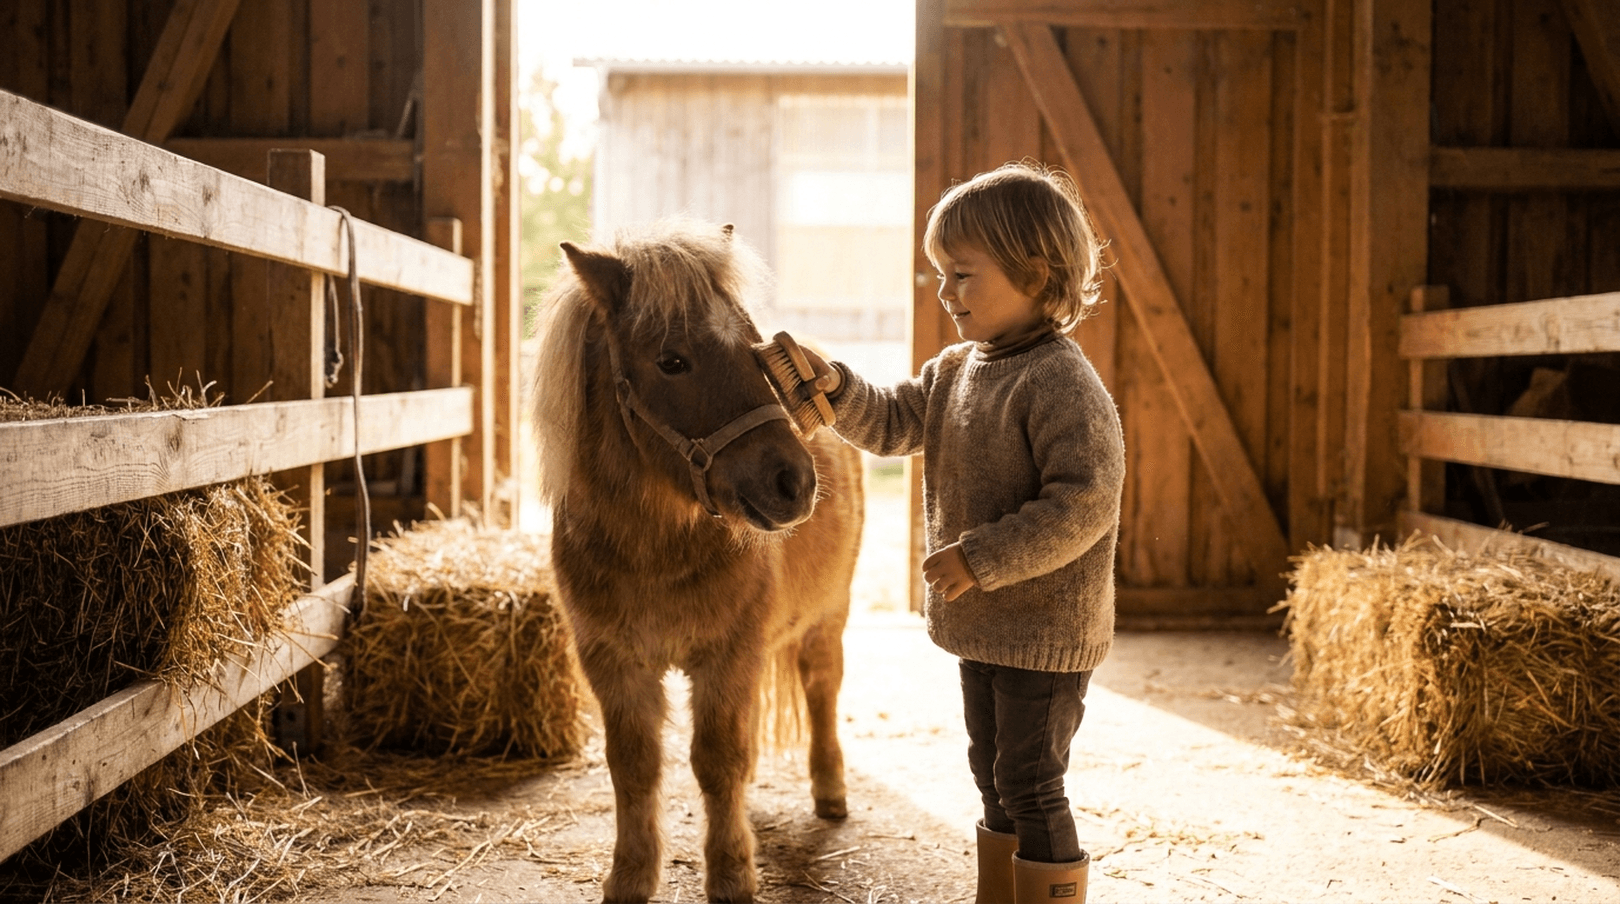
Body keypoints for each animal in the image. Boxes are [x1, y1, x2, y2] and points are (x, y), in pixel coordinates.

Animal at [531, 220, 864, 903]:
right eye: (672, 361)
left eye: (756, 348)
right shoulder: (614, 662)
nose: (795, 482)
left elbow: (717, 761)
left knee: (821, 691)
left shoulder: (725, 657)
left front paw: (732, 873)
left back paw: (830, 792)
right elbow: (635, 766)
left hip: (827, 622)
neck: (652, 552)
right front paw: (631, 876)